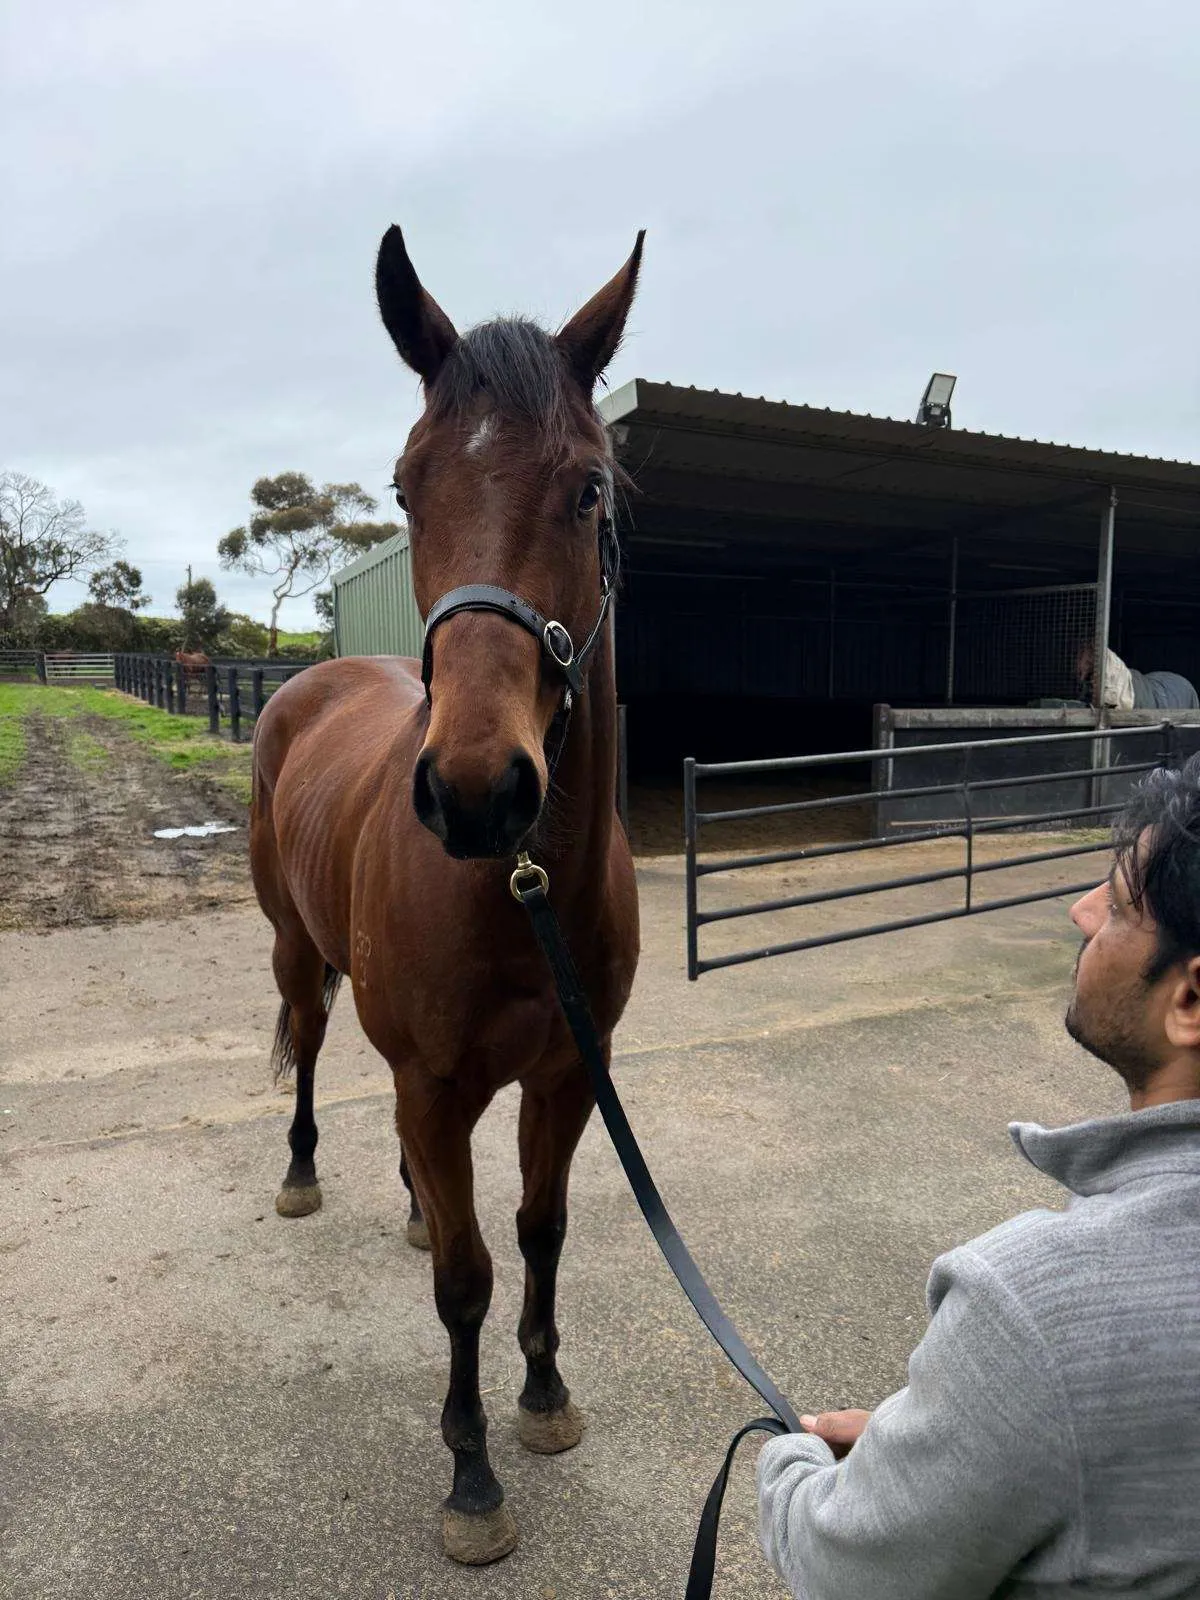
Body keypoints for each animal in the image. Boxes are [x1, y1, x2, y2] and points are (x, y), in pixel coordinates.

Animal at [249, 227, 643, 1564]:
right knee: (312, 1049)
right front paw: (471, 1475)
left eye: (589, 489)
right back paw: (306, 1171)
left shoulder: (568, 1077)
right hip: (296, 954)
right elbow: (465, 1281)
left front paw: (546, 1393)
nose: (477, 792)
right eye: (409, 487)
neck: (518, 892)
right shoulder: (436, 1078)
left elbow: (536, 1231)